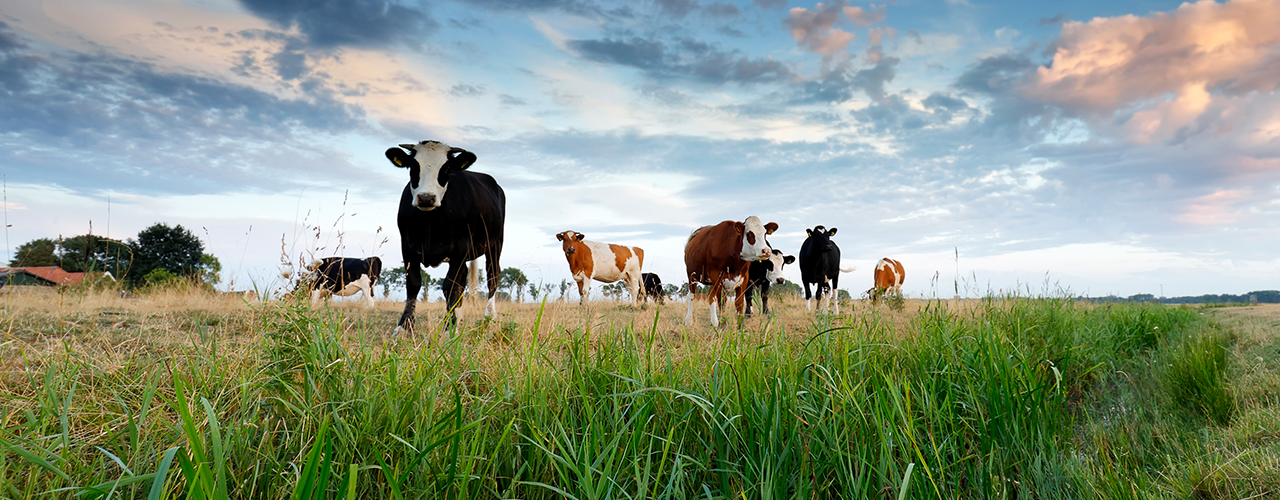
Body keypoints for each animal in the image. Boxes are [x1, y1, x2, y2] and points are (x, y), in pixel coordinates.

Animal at [386, 138, 506, 332]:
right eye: (413, 166)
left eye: (446, 169)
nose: (426, 198)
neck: (429, 223)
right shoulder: (407, 246)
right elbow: (413, 283)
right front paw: (404, 326)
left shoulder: (461, 247)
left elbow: (450, 286)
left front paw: (450, 326)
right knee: (463, 280)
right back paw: (461, 316)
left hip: (495, 243)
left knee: (492, 275)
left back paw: (489, 315)